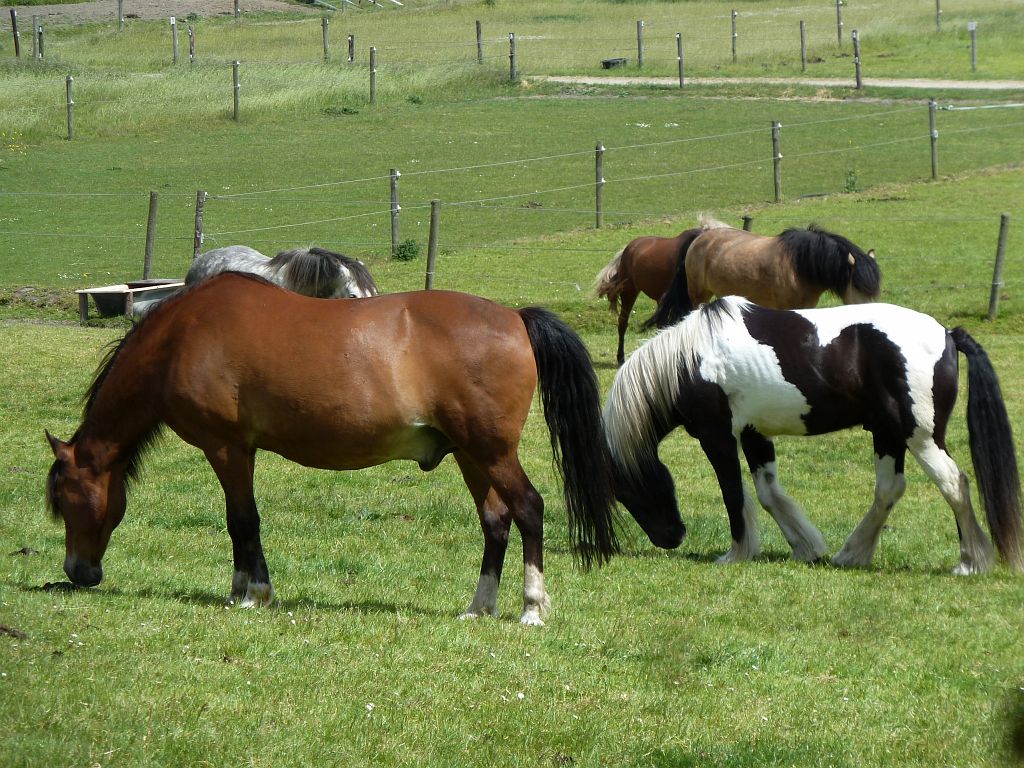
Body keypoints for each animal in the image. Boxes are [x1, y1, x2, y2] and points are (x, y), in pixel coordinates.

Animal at [46, 274, 614, 626]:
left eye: (68, 499)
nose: (78, 573)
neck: (183, 336)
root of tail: (515, 318)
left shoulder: (227, 449)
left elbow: (242, 520)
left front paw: (253, 594)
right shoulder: (238, 451)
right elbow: (239, 523)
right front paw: (238, 588)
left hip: (492, 452)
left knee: (530, 509)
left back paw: (532, 608)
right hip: (471, 455)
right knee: (496, 520)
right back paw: (479, 607)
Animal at [602, 296, 1019, 573]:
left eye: (623, 490)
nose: (671, 538)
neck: (689, 360)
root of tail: (947, 334)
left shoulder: (717, 436)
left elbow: (734, 493)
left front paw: (736, 553)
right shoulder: (754, 434)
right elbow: (768, 494)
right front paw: (806, 547)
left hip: (921, 436)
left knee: (953, 483)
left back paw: (970, 562)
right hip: (888, 433)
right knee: (889, 490)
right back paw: (852, 554)